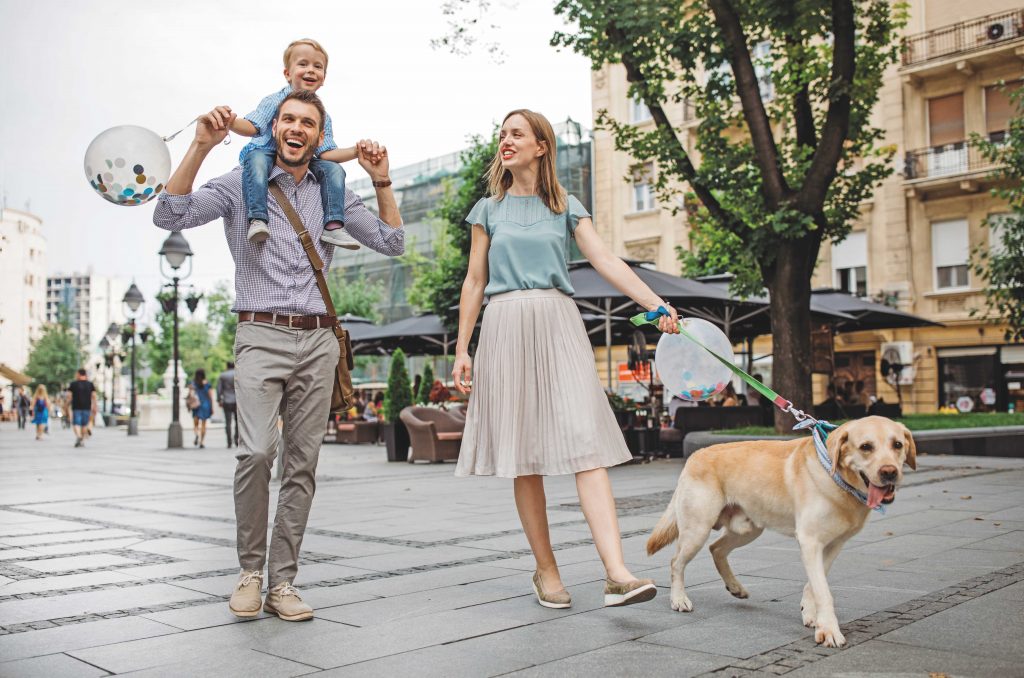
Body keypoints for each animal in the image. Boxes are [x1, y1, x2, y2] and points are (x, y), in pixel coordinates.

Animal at [647, 413, 913, 647]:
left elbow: (815, 584)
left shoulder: (833, 544)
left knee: (716, 549)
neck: (836, 478)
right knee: (676, 562)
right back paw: (679, 599)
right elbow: (823, 590)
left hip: (748, 528)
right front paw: (829, 630)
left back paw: (735, 587)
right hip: (698, 528)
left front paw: (811, 614)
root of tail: (695, 455)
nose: (889, 472)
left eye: (897, 444)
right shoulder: (810, 541)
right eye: (866, 446)